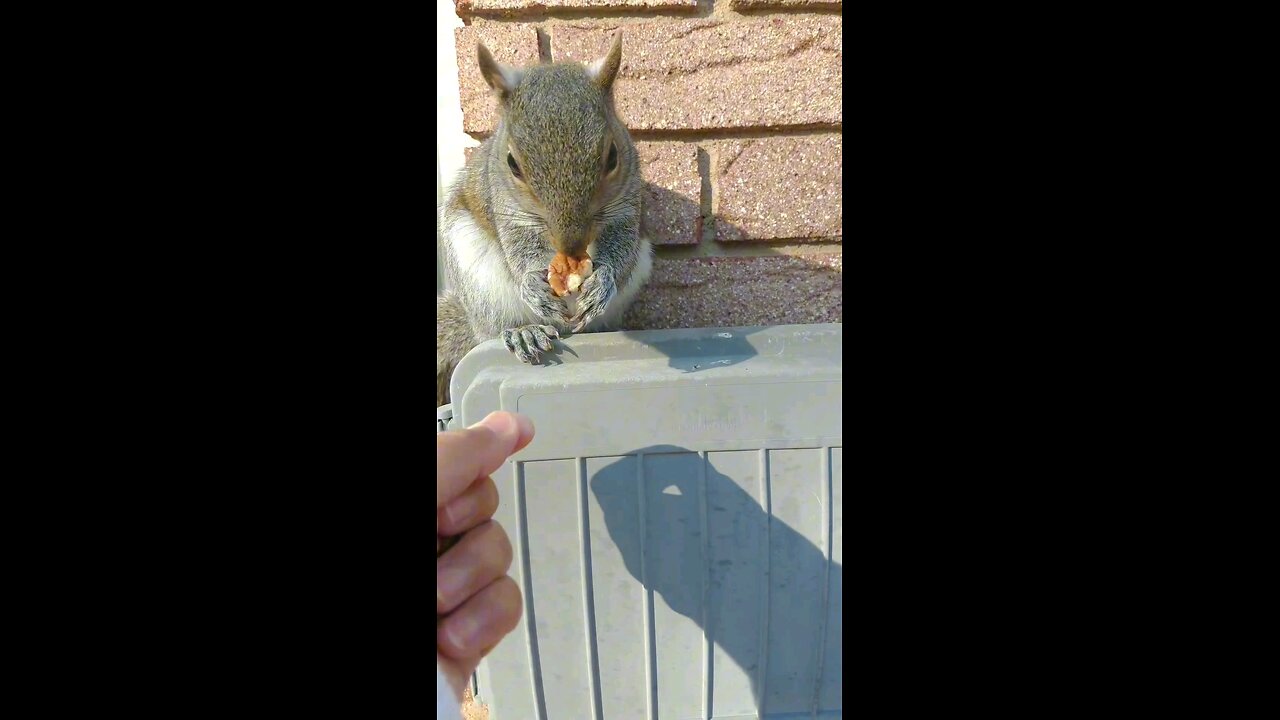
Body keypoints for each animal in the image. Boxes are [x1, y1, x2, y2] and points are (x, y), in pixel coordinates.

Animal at [437, 35, 650, 404]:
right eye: (512, 164)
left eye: (612, 156)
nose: (572, 244)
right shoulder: (508, 210)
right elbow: (518, 251)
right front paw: (532, 285)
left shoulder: (626, 205)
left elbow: (621, 249)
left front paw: (603, 282)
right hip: (479, 280)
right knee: (495, 327)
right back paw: (524, 332)